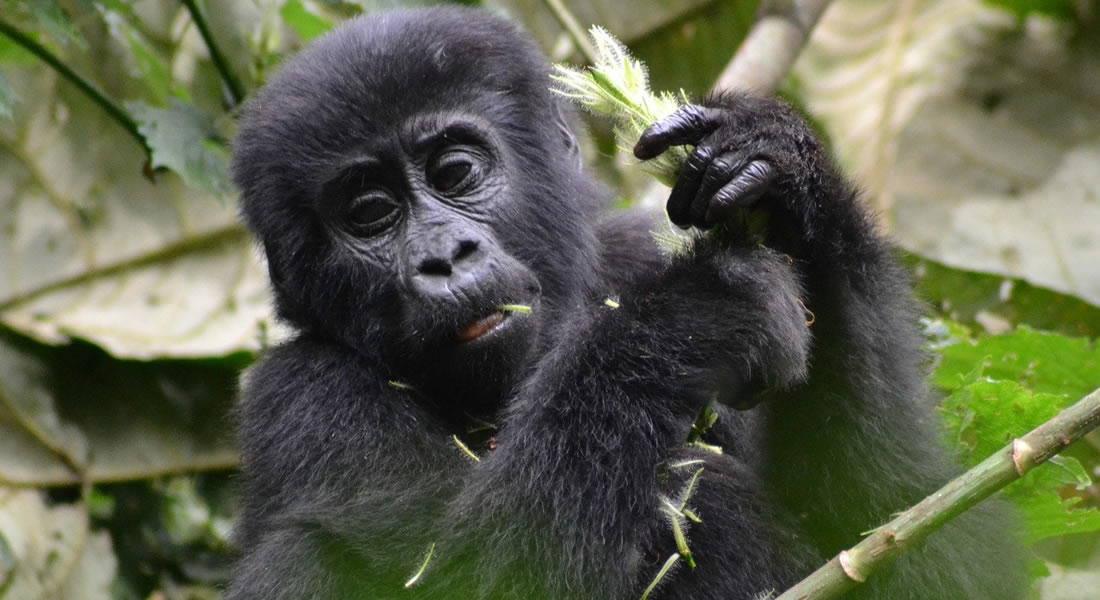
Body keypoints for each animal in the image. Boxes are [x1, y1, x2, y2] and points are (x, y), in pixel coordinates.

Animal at [227, 4, 1025, 598]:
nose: (443, 259)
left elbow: (919, 535)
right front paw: (696, 315)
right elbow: (475, 577)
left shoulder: (635, 246)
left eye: (454, 171)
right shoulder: (297, 396)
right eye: (370, 215)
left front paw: (789, 179)